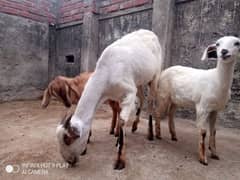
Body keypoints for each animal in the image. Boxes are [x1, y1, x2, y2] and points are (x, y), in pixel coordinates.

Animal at [55, 29, 163, 169]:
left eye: (68, 139)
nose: (69, 161)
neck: (107, 71)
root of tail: (151, 33)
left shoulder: (129, 92)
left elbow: (122, 120)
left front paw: (120, 160)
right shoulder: (116, 95)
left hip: (155, 76)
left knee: (150, 101)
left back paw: (150, 134)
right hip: (139, 81)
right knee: (142, 99)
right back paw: (134, 126)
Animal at [154, 36, 240, 166]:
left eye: (237, 43)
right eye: (217, 44)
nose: (224, 51)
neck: (217, 80)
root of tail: (165, 70)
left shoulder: (215, 110)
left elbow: (214, 131)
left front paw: (214, 154)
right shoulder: (202, 107)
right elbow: (203, 132)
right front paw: (203, 159)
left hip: (177, 99)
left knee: (171, 113)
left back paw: (173, 135)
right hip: (163, 94)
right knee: (158, 112)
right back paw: (158, 134)